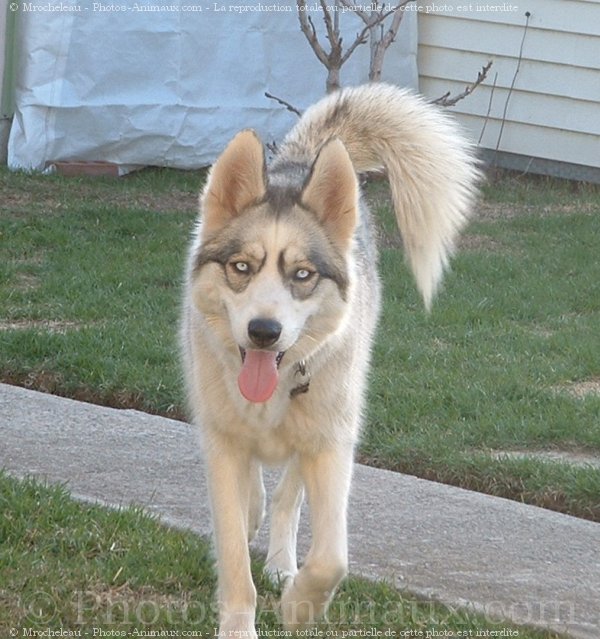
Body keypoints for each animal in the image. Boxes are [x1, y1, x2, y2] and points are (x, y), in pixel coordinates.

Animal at [180, 84, 480, 636]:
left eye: (302, 275)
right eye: (242, 268)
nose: (264, 331)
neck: (271, 393)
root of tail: (299, 160)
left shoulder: (331, 445)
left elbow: (331, 558)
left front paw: (300, 604)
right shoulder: (221, 440)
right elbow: (232, 552)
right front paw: (239, 623)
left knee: (287, 498)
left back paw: (281, 562)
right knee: (254, 494)